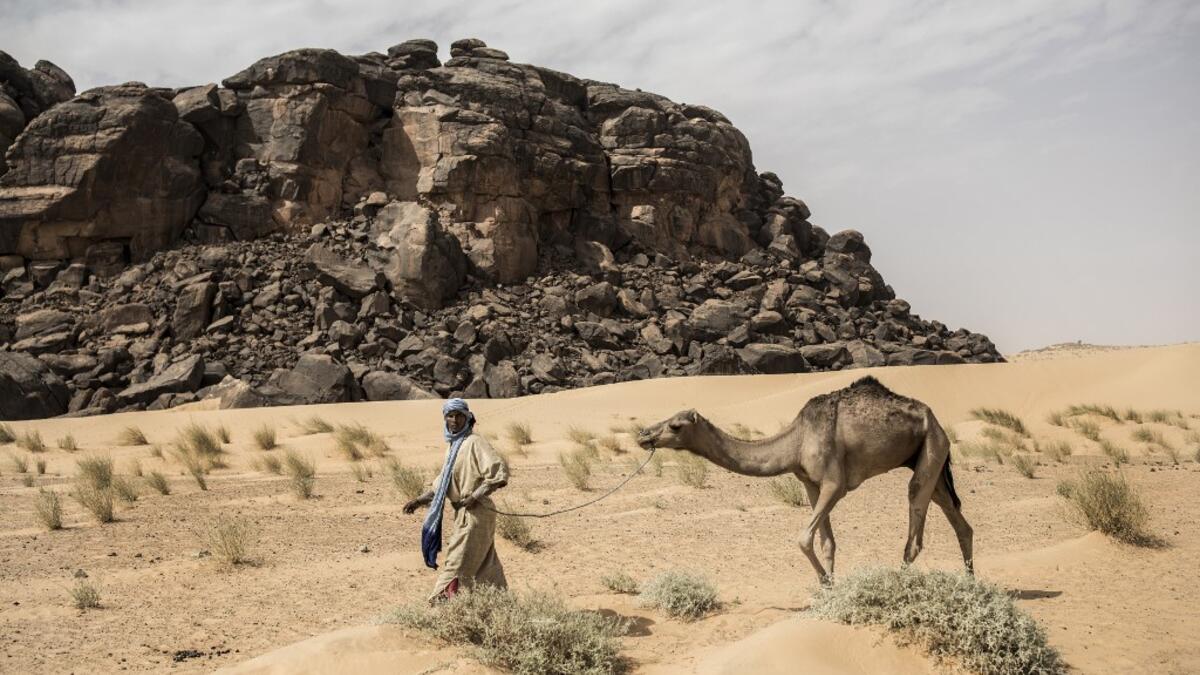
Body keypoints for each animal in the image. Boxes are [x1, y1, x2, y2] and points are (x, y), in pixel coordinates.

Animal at [636, 375, 972, 585]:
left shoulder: (835, 485)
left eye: (676, 426)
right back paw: (970, 585)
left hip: (931, 445)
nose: (644, 434)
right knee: (959, 523)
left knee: (915, 523)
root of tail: (937, 422)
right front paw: (830, 589)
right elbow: (827, 542)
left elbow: (803, 538)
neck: (796, 442)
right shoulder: (810, 484)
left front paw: (825, 583)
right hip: (932, 463)